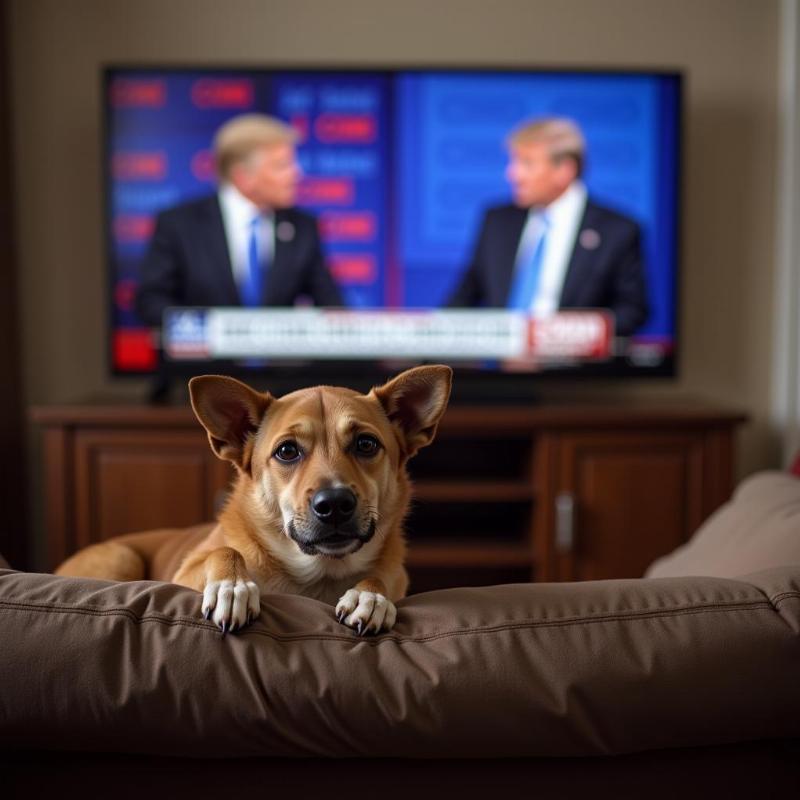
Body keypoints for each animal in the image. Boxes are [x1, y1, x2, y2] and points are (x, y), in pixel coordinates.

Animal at [57, 366, 450, 636]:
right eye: (287, 451)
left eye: (366, 444)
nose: (335, 503)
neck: (317, 575)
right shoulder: (184, 574)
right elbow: (224, 551)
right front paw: (231, 587)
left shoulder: (394, 574)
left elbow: (380, 577)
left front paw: (372, 596)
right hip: (120, 557)